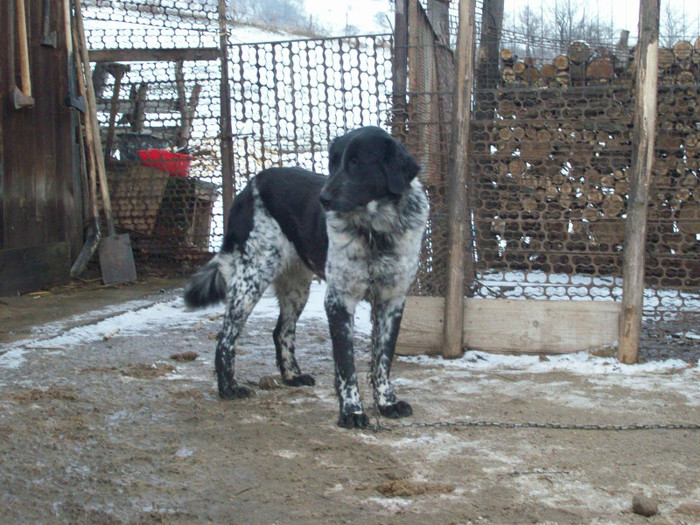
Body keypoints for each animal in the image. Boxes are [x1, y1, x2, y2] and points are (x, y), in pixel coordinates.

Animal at [183, 126, 430, 426]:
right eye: (333, 162)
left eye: (357, 162)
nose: (323, 200)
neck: (377, 231)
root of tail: (252, 182)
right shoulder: (339, 300)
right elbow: (346, 365)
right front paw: (352, 411)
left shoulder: (392, 301)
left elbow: (383, 360)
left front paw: (386, 403)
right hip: (250, 278)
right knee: (225, 338)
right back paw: (228, 387)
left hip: (296, 288)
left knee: (281, 331)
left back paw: (292, 376)